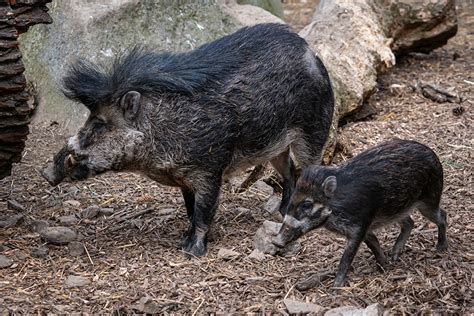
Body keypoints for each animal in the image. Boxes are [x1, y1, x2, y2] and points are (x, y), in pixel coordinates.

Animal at [43, 24, 334, 256]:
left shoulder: (210, 171)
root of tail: (311, 52)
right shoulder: (184, 178)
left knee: (308, 171)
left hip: (314, 133)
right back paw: (280, 212)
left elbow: (204, 212)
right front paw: (183, 239)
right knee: (289, 172)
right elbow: (190, 210)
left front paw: (192, 252)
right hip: (276, 148)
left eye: (100, 124)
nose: (45, 173)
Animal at [272, 139, 446, 288]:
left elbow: (347, 257)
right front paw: (385, 265)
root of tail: (433, 155)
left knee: (442, 216)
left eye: (307, 204)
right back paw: (394, 255)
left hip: (429, 200)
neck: (334, 210)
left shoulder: (359, 226)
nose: (276, 241)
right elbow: (373, 243)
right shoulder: (366, 227)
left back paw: (441, 249)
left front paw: (336, 287)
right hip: (398, 210)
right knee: (410, 222)